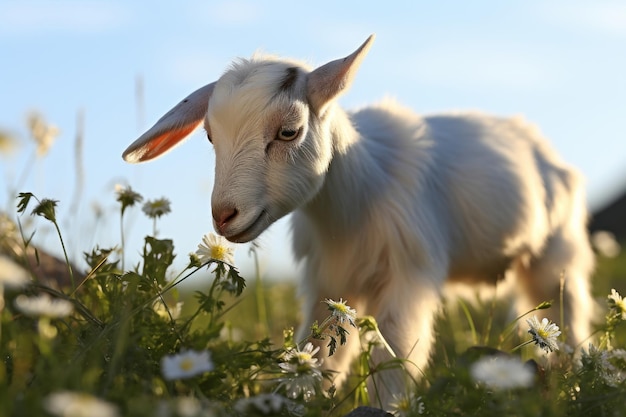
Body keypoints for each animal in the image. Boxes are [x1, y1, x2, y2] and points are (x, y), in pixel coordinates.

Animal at [123, 35, 596, 406]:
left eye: (289, 131)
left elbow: (394, 362)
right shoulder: (328, 285)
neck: (351, 205)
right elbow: (315, 353)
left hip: (557, 254)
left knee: (568, 319)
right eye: (209, 135)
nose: (224, 216)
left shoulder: (408, 280)